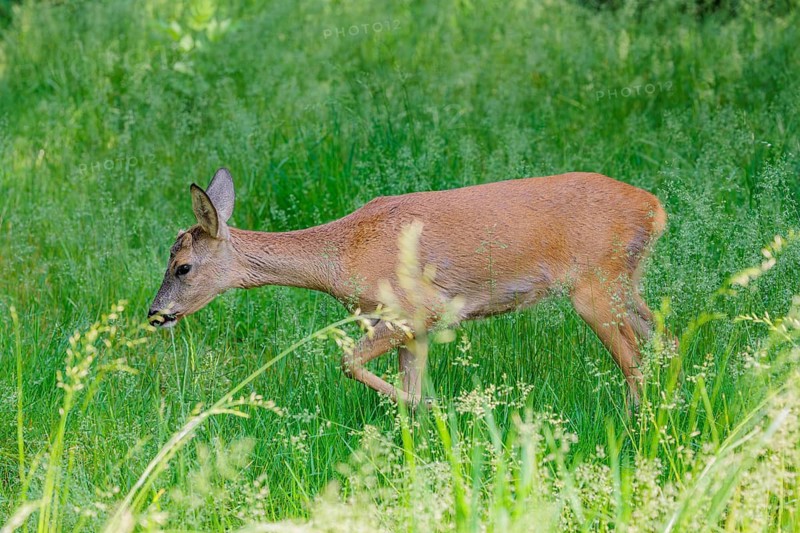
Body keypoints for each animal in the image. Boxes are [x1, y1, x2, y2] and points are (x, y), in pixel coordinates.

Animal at [149, 168, 667, 410]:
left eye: (182, 267)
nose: (155, 313)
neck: (342, 256)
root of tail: (655, 209)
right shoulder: (411, 327)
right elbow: (407, 382)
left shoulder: (422, 306)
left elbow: (349, 362)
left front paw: (441, 407)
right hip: (625, 282)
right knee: (664, 338)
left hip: (595, 284)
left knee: (634, 363)